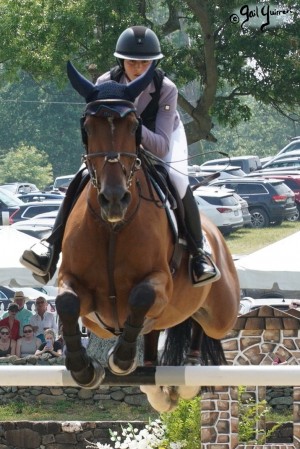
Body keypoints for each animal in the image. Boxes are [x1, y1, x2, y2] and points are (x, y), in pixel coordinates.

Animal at [55, 61, 240, 412]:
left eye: (133, 126)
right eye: (87, 127)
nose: (114, 200)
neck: (112, 229)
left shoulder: (160, 284)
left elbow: (141, 296)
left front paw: (121, 359)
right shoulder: (76, 286)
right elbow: (66, 302)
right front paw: (83, 368)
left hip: (223, 312)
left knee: (203, 324)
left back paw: (189, 376)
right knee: (155, 337)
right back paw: (158, 387)